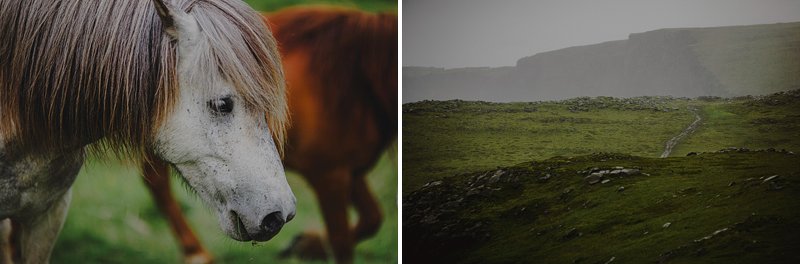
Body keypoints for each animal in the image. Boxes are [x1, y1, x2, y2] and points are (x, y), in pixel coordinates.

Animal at [142, 6, 398, 264]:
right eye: (222, 104)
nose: (277, 217)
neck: (356, 82)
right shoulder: (329, 175)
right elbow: (342, 242)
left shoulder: (350, 170)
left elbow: (373, 217)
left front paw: (308, 244)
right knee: (157, 183)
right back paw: (196, 252)